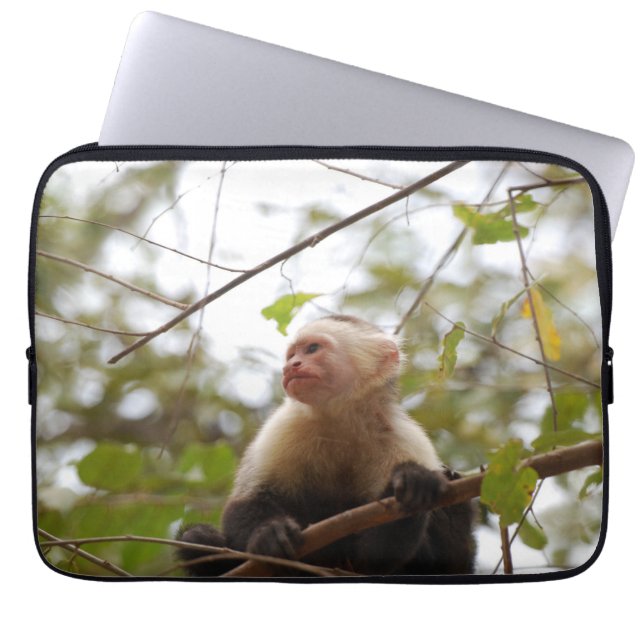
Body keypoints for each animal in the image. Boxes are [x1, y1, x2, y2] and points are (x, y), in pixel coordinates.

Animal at [177, 315, 476, 576]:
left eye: (312, 349)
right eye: (291, 355)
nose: (290, 366)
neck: (340, 419)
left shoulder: (407, 440)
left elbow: (376, 558)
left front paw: (414, 483)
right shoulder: (282, 426)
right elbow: (246, 501)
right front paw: (269, 534)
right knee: (196, 538)